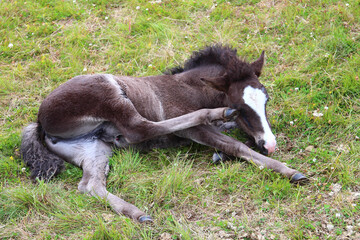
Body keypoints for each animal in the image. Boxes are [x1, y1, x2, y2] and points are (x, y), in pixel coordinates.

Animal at [21, 44, 306, 222]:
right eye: (241, 107)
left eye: (266, 100)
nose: (270, 144)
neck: (192, 89)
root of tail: (39, 121)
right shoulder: (194, 131)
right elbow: (235, 145)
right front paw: (288, 171)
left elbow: (229, 139)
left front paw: (223, 153)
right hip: (108, 91)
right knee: (139, 128)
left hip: (94, 147)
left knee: (90, 185)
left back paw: (138, 214)